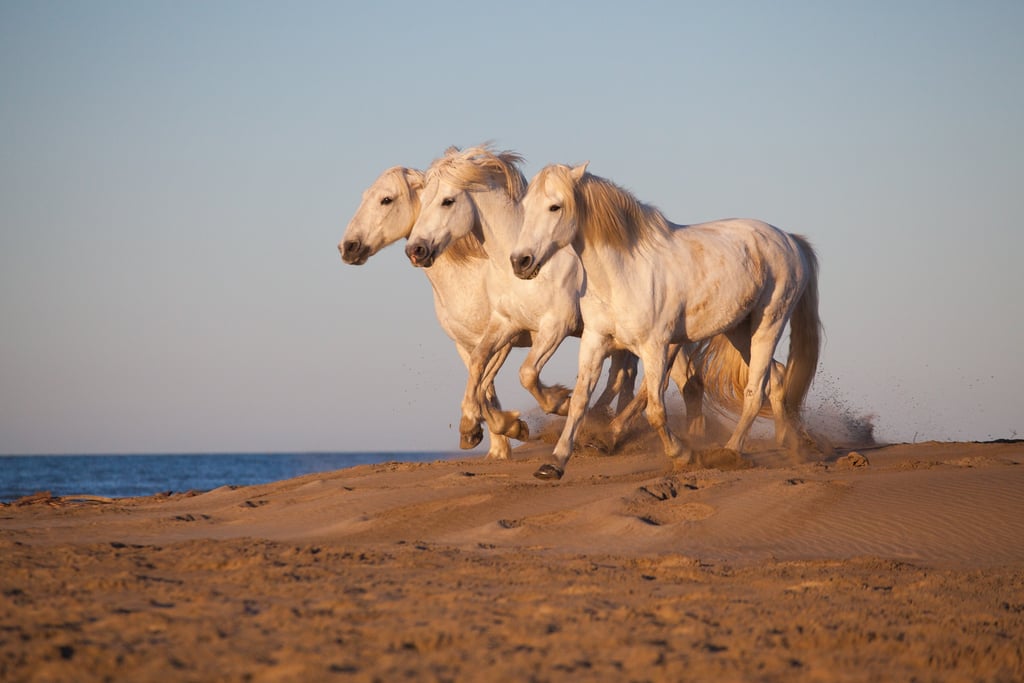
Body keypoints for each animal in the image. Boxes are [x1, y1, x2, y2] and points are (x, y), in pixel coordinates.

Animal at [339, 162, 637, 459]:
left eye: (386, 199)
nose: (347, 247)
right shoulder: (470, 341)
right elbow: (480, 378)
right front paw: (492, 437)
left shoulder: (522, 335)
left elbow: (491, 382)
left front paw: (508, 426)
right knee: (624, 373)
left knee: (623, 375)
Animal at [510, 162, 821, 480]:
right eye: (526, 206)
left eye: (555, 206)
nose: (520, 261)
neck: (623, 272)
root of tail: (790, 239)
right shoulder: (595, 341)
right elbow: (578, 401)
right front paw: (554, 462)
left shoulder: (654, 347)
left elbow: (656, 410)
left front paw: (682, 455)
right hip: (740, 331)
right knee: (777, 377)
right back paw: (787, 445)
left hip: (769, 323)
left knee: (755, 390)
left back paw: (731, 452)